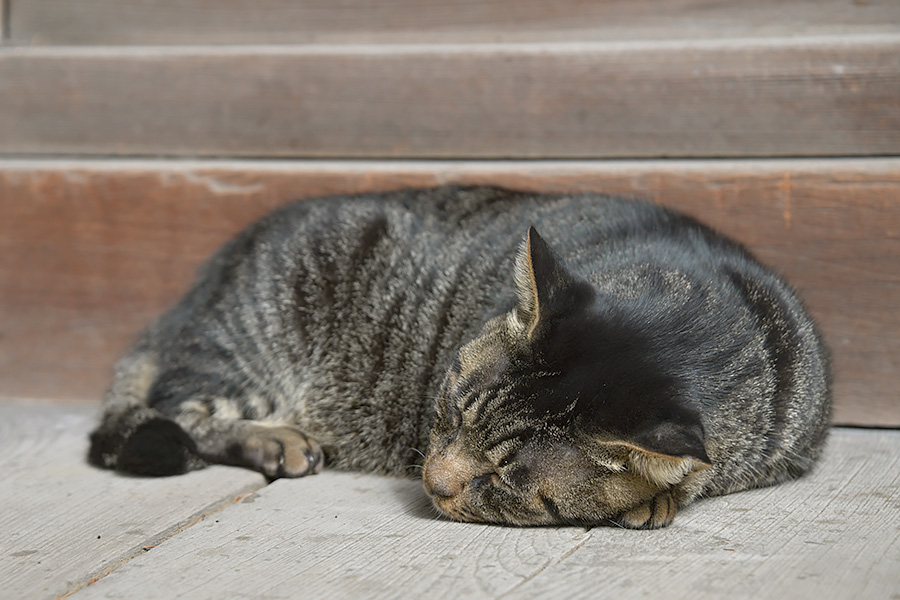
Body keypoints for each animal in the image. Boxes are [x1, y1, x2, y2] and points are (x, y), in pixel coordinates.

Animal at [88, 186, 832, 528]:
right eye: (447, 409)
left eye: (508, 475)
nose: (433, 482)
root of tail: (197, 287)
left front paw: (663, 495)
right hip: (245, 347)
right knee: (182, 408)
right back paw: (276, 439)